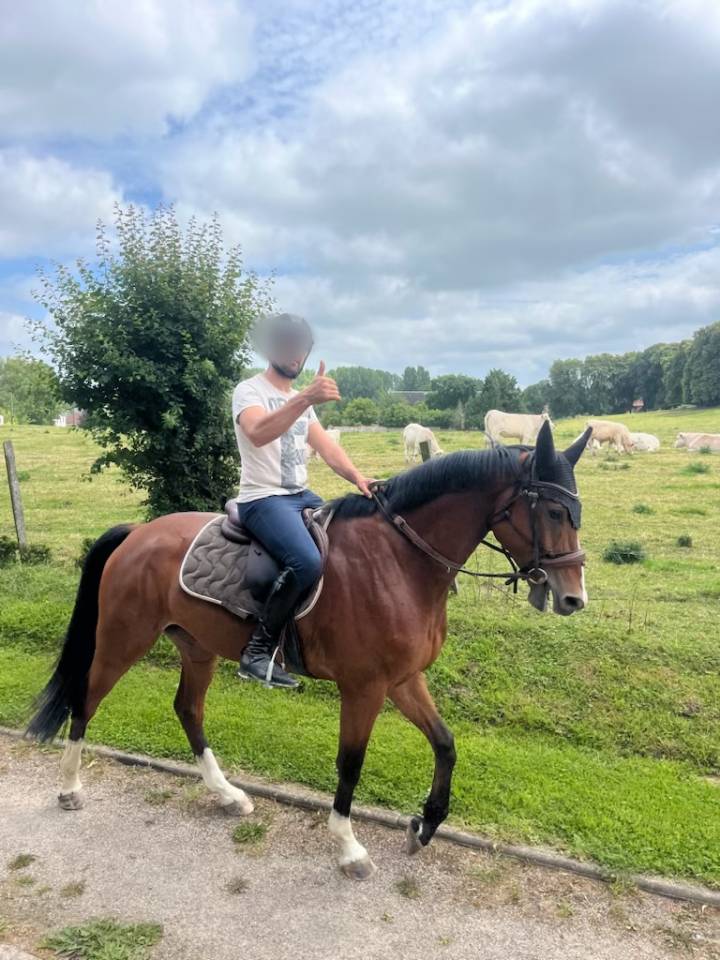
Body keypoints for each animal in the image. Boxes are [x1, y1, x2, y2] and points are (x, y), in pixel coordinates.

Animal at [27, 421, 591, 880]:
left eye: (576, 512)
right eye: (554, 510)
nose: (573, 598)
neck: (400, 561)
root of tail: (139, 533)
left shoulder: (404, 680)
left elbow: (446, 743)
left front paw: (425, 824)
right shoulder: (364, 688)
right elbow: (351, 763)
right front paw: (349, 848)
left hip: (196, 647)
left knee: (188, 709)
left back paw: (228, 795)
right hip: (124, 637)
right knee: (87, 698)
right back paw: (70, 788)